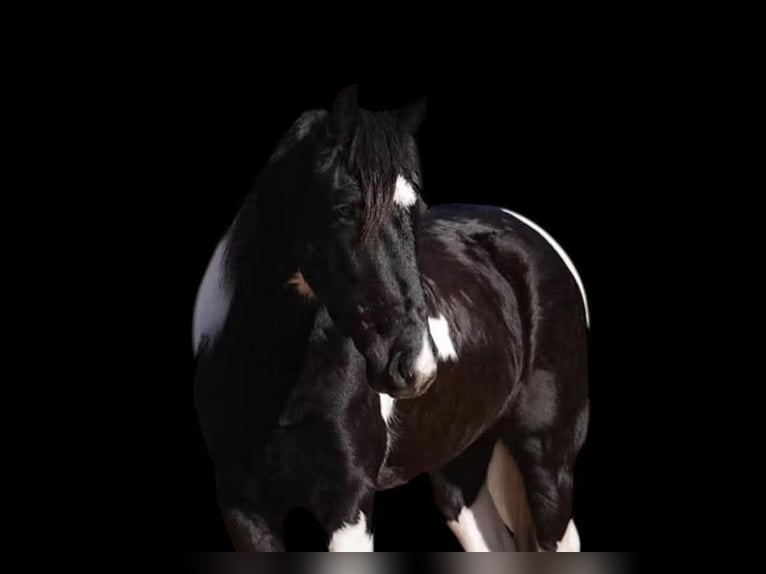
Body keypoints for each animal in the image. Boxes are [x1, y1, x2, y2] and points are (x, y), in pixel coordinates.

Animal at [191, 86, 590, 551]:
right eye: (344, 209)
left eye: (415, 212)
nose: (416, 366)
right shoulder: (244, 510)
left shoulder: (348, 501)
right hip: (460, 467)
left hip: (547, 462)